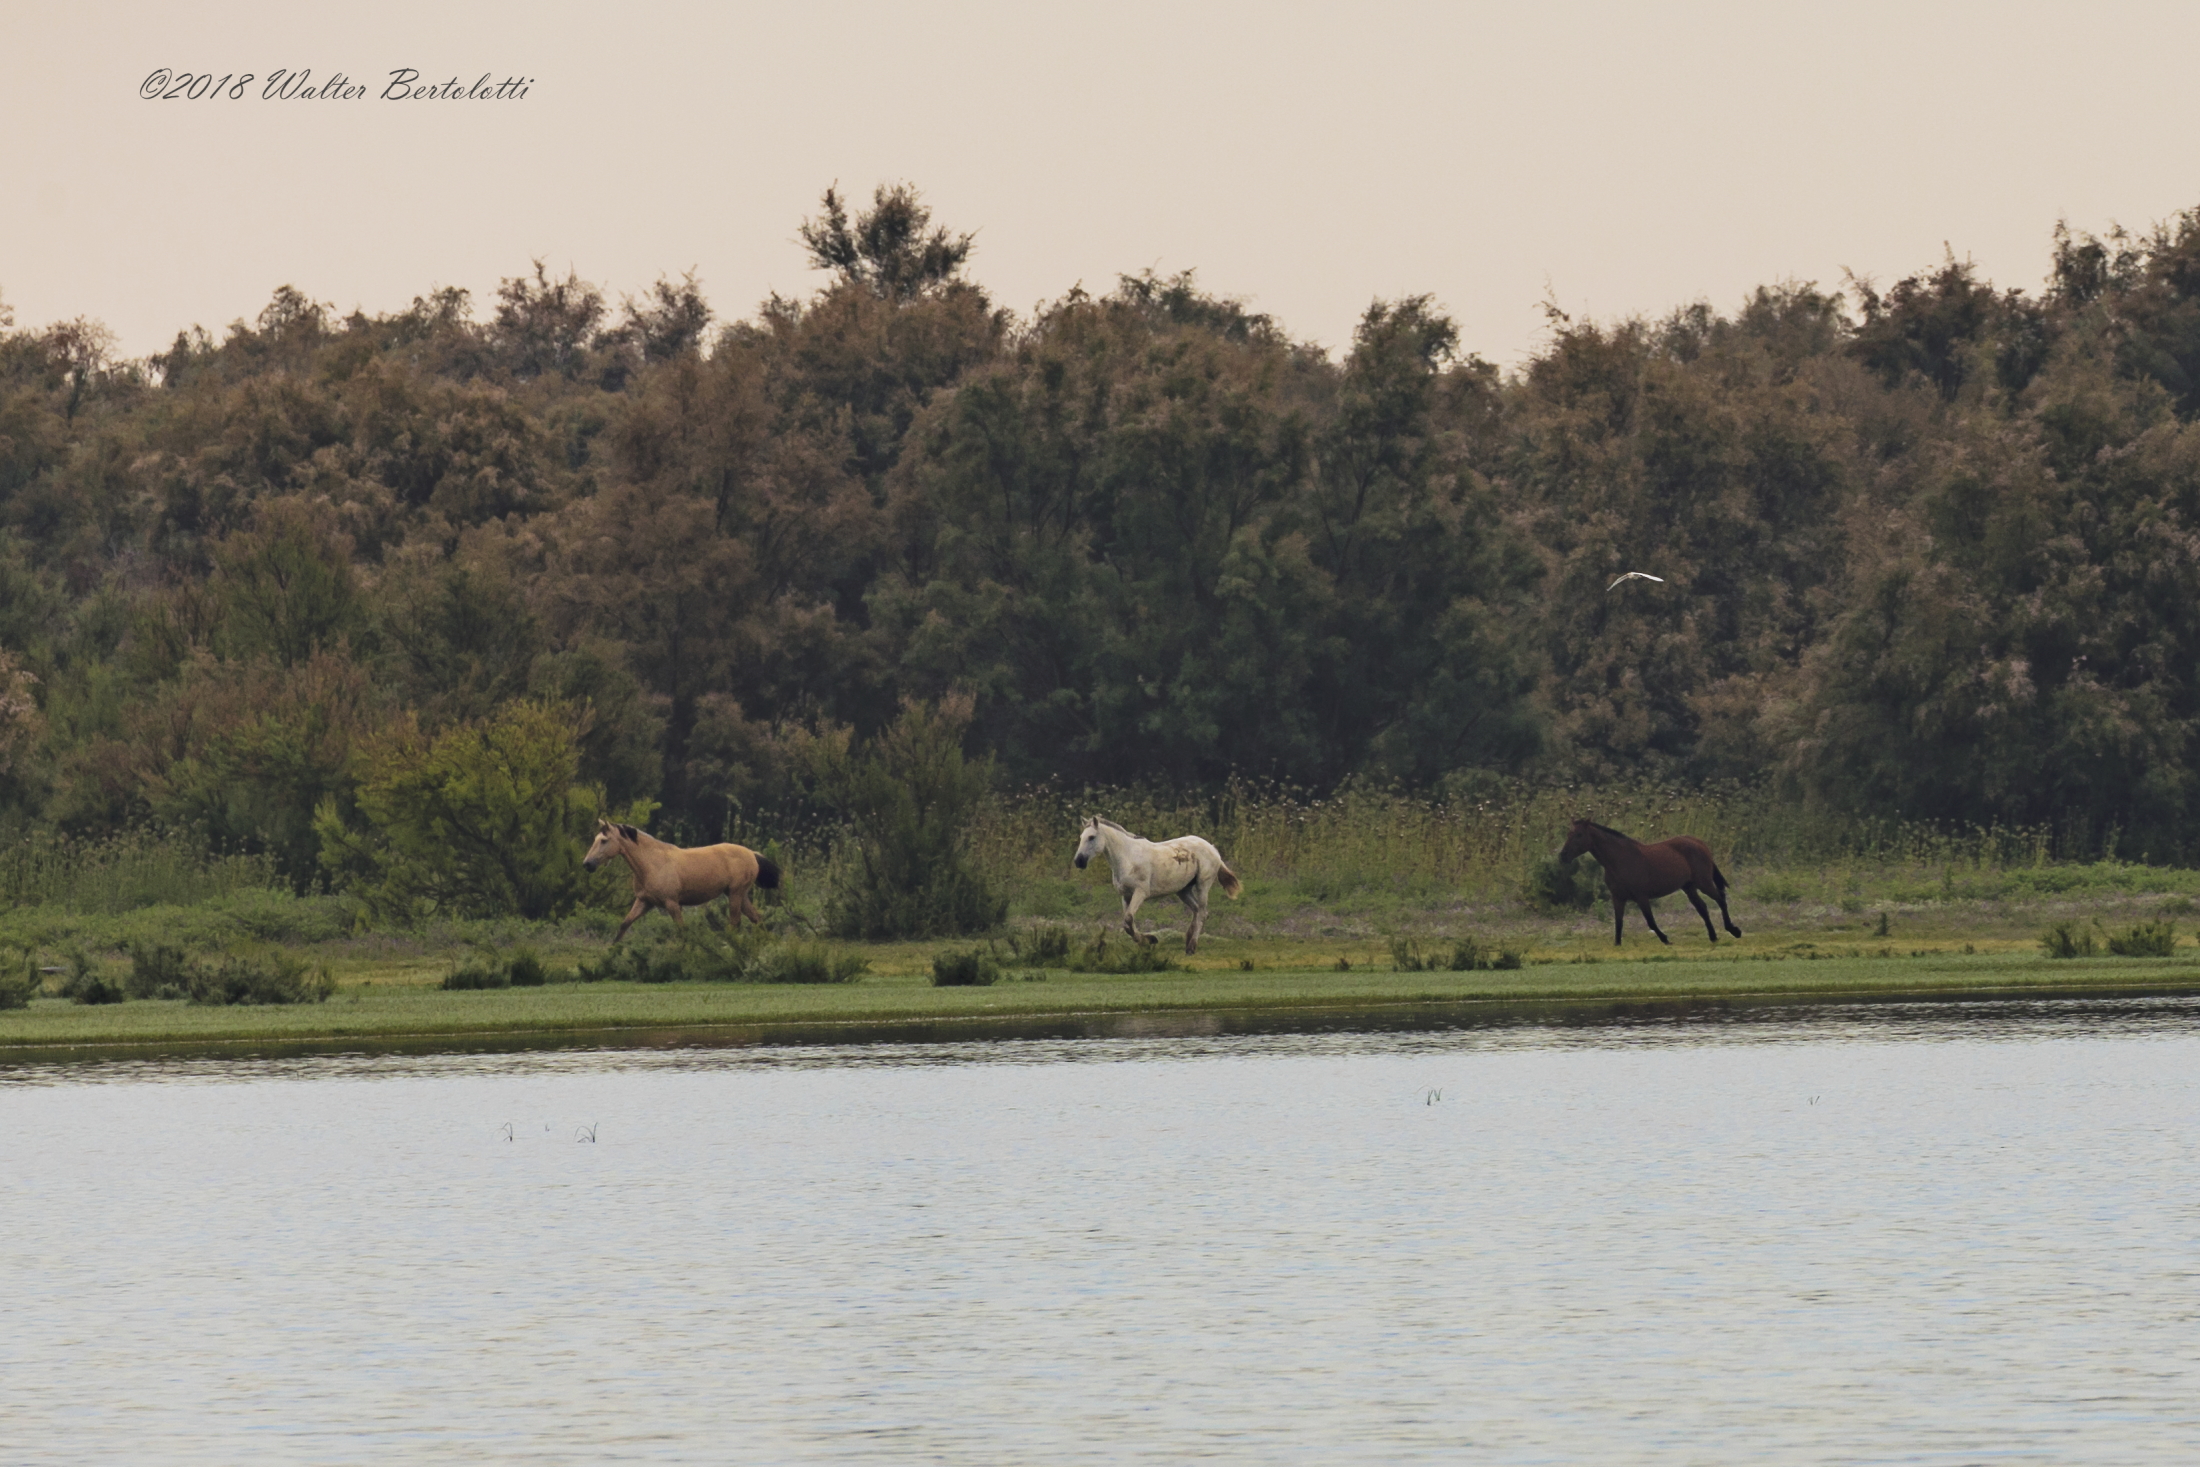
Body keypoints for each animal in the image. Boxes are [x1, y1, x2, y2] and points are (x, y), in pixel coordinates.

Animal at [582, 820, 782, 943]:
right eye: (596, 839)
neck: (653, 863)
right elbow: (624, 924)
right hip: (740, 895)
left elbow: (682, 930)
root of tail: (752, 854)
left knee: (735, 923)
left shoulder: (671, 903)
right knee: (757, 919)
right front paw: (611, 952)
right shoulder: (644, 902)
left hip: (735, 894)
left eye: (604, 840)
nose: (587, 864)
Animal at [1073, 816, 1243, 955]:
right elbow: (1128, 923)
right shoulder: (1126, 896)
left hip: (1203, 885)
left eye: (1091, 837)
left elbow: (1128, 919)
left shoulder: (1140, 893)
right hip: (1183, 890)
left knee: (1202, 913)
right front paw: (1148, 940)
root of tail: (1212, 848)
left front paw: (1149, 940)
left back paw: (1191, 947)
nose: (1078, 861)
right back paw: (1187, 939)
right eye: (1081, 837)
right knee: (1197, 910)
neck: (1128, 858)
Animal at [1558, 818, 1741, 947]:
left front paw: (1666, 939)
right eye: (1568, 834)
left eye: (1579, 835)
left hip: (1703, 883)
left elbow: (1650, 921)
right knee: (1702, 907)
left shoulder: (1641, 896)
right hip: (1689, 887)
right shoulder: (1618, 897)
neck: (1619, 860)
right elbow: (1619, 921)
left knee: (1721, 899)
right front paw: (1617, 944)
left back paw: (1733, 930)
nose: (1562, 856)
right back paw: (1713, 936)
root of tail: (1699, 843)